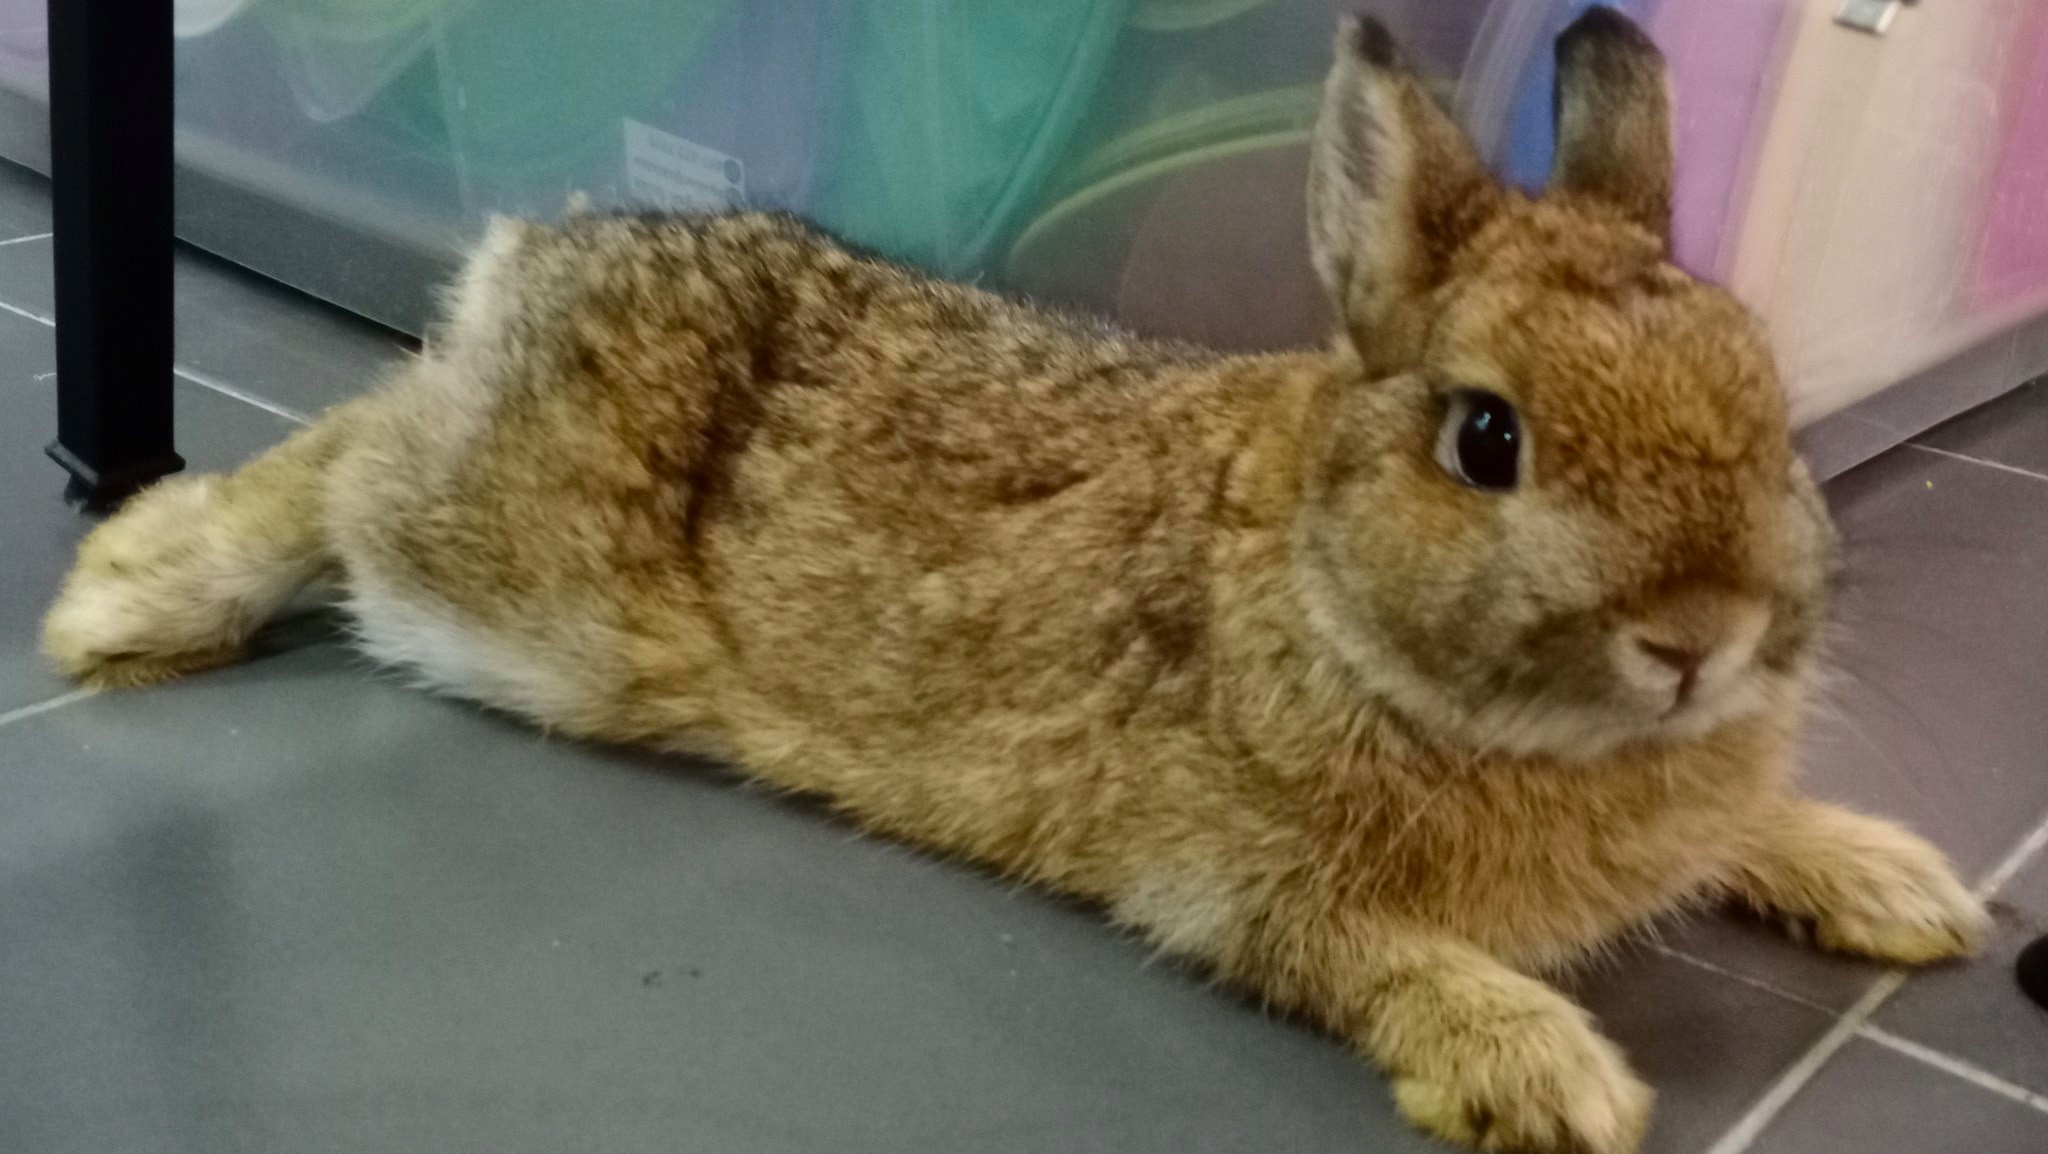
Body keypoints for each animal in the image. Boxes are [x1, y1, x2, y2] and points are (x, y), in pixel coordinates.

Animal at [42, 10, 1985, 1154]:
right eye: (1486, 437)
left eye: (1767, 404)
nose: (1700, 636)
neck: (1318, 585)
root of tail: (541, 248)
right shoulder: (1237, 882)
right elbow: (1372, 956)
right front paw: (1556, 1074)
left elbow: (1751, 825)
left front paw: (1903, 886)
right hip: (517, 582)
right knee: (345, 452)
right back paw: (122, 590)